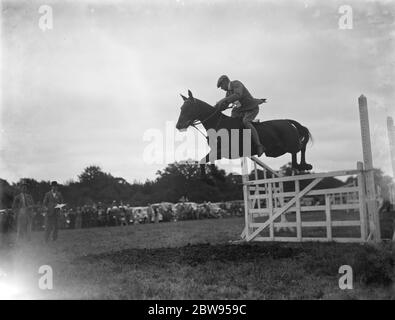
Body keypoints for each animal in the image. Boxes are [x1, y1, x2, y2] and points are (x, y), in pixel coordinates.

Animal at [176, 89, 312, 175]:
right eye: (181, 108)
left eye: (189, 108)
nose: (178, 126)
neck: (218, 125)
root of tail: (286, 121)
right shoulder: (216, 152)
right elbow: (203, 161)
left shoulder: (224, 152)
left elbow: (205, 161)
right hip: (276, 151)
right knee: (295, 155)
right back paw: (300, 166)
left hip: (289, 145)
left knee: (301, 147)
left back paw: (305, 165)